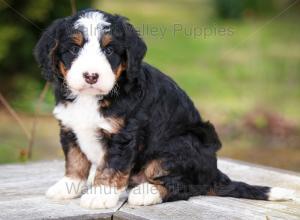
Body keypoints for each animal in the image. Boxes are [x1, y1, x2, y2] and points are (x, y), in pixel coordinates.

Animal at [34, 9, 294, 209]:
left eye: (109, 50)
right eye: (73, 49)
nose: (91, 76)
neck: (92, 98)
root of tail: (214, 172)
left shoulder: (123, 135)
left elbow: (111, 168)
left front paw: (100, 196)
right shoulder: (70, 127)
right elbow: (75, 161)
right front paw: (68, 186)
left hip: (181, 144)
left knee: (185, 185)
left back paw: (146, 192)